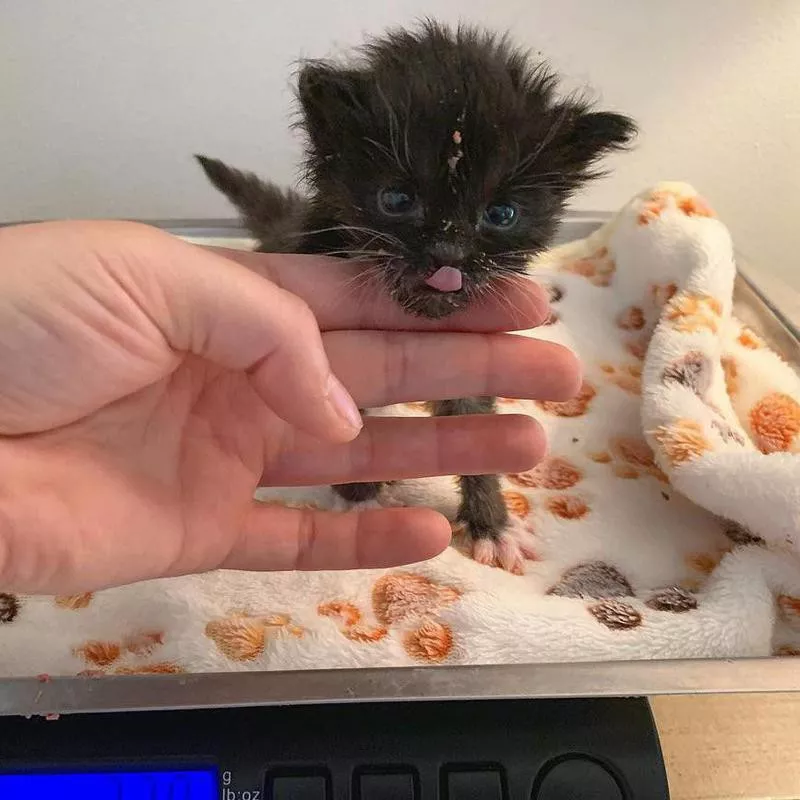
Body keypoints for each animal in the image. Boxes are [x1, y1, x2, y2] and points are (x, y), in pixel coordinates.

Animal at [195, 17, 636, 568]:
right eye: (397, 199)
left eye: (501, 214)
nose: (448, 253)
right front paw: (360, 498)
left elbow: (474, 427)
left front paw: (492, 525)